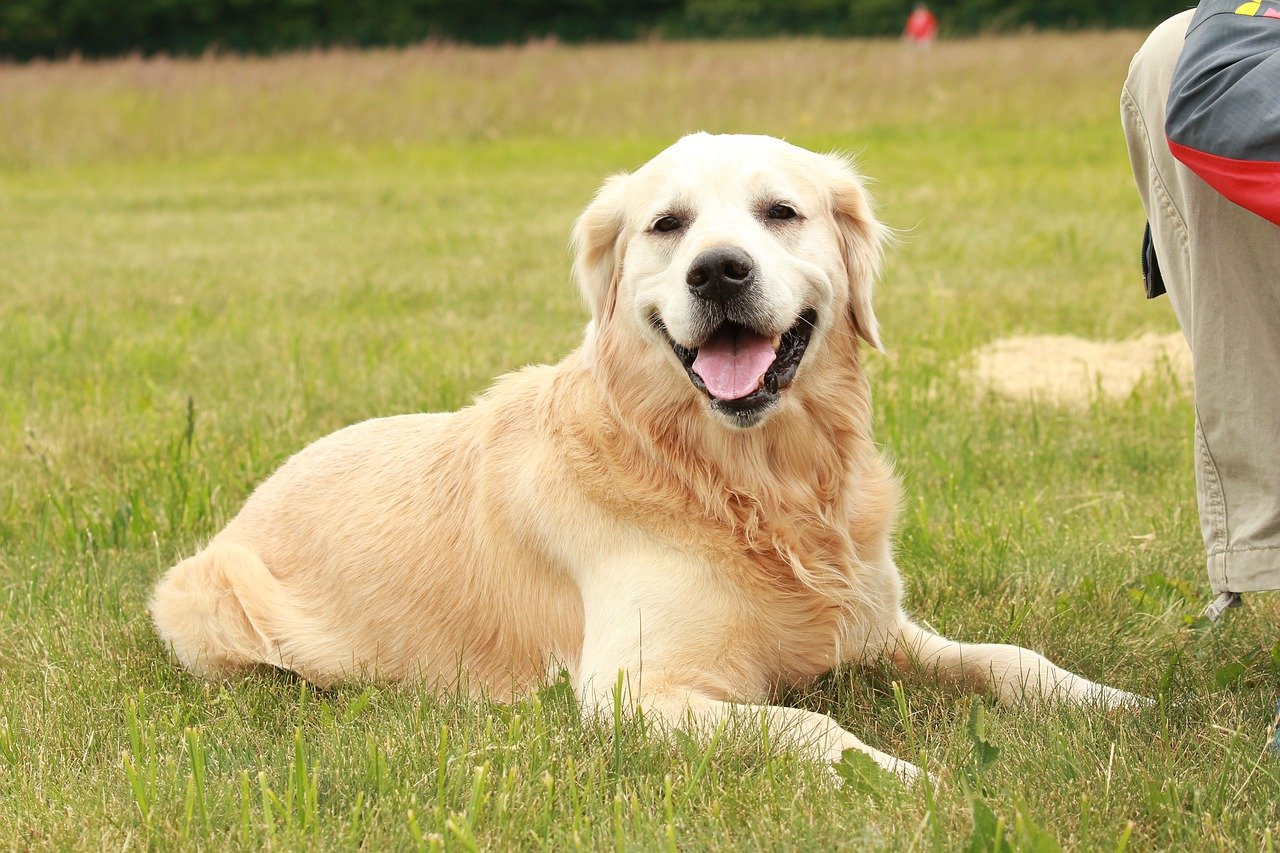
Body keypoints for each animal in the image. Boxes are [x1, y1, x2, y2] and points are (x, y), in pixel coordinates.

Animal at [154, 131, 1146, 778]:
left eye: (780, 212)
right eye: (668, 225)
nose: (719, 270)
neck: (746, 481)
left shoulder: (873, 622)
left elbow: (1011, 657)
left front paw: (1118, 702)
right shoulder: (633, 689)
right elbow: (806, 727)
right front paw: (904, 779)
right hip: (201, 600)